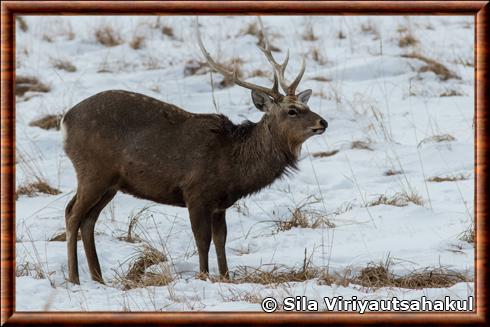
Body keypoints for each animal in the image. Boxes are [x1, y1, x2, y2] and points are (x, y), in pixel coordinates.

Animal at [62, 18, 330, 284]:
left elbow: (221, 239)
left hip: (111, 183)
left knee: (88, 219)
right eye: (292, 111)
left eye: (306, 105)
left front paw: (225, 276)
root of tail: (66, 121)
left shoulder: (220, 203)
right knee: (72, 214)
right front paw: (203, 275)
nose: (323, 122)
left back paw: (98, 278)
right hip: (93, 171)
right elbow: (203, 240)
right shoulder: (196, 192)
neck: (234, 165)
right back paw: (74, 278)